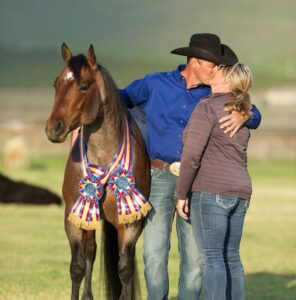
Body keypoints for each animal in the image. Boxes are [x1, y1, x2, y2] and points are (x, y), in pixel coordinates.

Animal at [45, 42, 151, 300]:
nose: (53, 128)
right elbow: (77, 266)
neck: (103, 157)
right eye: (56, 84)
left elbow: (125, 268)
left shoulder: (130, 223)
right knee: (90, 253)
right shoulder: (73, 218)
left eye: (84, 86)